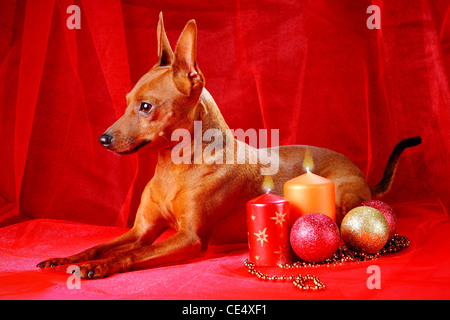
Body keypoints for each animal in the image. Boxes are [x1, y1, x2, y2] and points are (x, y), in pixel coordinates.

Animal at [37, 13, 420, 278]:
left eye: (145, 107)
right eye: (127, 100)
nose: (102, 139)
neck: (173, 168)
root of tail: (362, 173)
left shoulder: (189, 238)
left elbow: (127, 255)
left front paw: (102, 266)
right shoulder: (141, 232)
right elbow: (97, 246)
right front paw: (66, 258)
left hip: (341, 198)